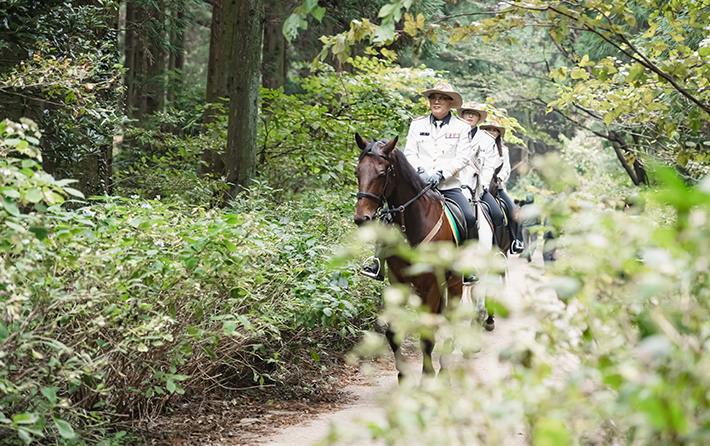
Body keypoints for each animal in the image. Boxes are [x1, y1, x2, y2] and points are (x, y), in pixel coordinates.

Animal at [354, 133, 464, 380]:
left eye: (382, 174)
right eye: (357, 172)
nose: (361, 218)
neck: (412, 221)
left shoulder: (431, 285)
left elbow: (427, 336)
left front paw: (427, 377)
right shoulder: (399, 282)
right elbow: (392, 333)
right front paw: (403, 375)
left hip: (455, 283)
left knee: (451, 320)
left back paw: (445, 366)